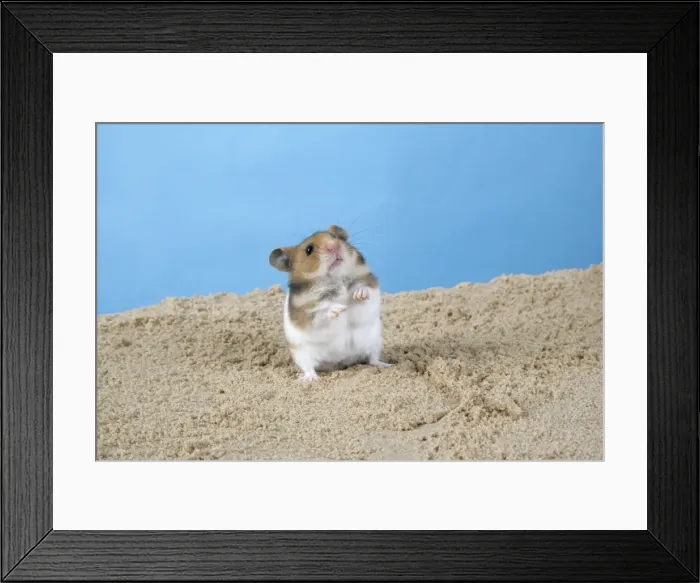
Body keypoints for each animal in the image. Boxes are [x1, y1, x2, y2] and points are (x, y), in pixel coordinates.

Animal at [269, 224, 392, 382]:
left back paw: (386, 365)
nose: (334, 245)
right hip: (301, 354)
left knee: (372, 359)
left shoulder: (370, 284)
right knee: (309, 368)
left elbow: (364, 288)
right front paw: (339, 309)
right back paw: (311, 379)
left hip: (375, 342)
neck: (335, 279)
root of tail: (340, 362)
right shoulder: (307, 313)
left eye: (337, 237)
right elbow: (322, 310)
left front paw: (359, 294)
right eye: (309, 249)